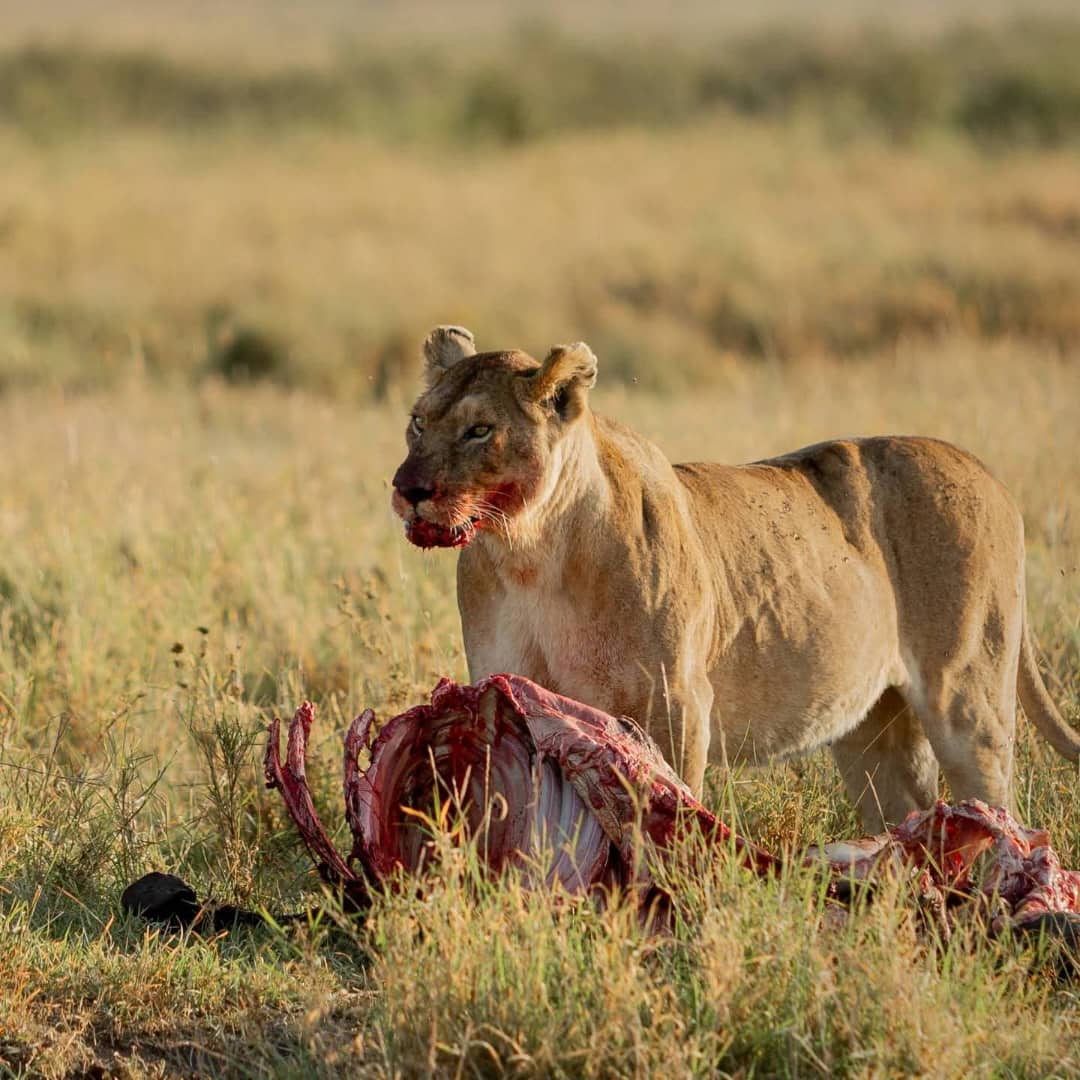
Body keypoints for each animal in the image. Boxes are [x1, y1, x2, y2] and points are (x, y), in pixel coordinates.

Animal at [391, 325, 1079, 830]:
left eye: (480, 430)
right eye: (419, 422)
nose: (407, 488)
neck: (531, 553)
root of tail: (988, 474)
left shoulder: (675, 701)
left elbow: (666, 804)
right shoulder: (507, 686)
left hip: (967, 698)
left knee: (996, 803)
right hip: (874, 727)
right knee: (905, 810)